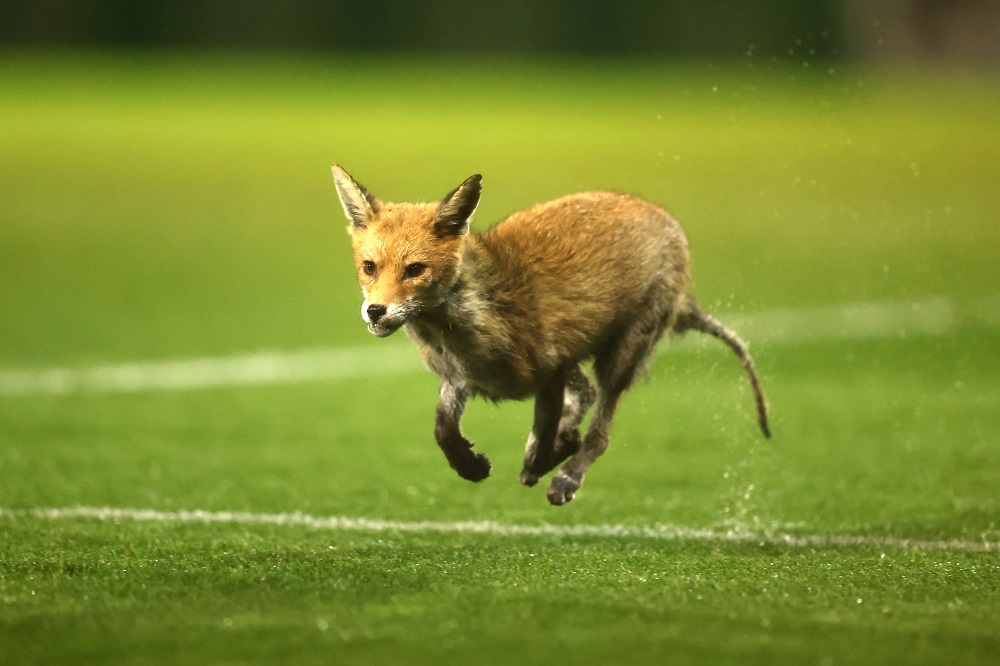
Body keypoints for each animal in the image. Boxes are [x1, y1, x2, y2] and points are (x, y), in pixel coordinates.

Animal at [331, 165, 770, 506]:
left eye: (414, 270)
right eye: (369, 267)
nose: (375, 311)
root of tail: (664, 217)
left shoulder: (550, 370)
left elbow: (543, 442)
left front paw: (547, 461)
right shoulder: (459, 378)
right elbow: (442, 429)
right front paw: (469, 465)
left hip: (620, 356)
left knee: (600, 432)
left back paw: (568, 473)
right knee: (587, 395)